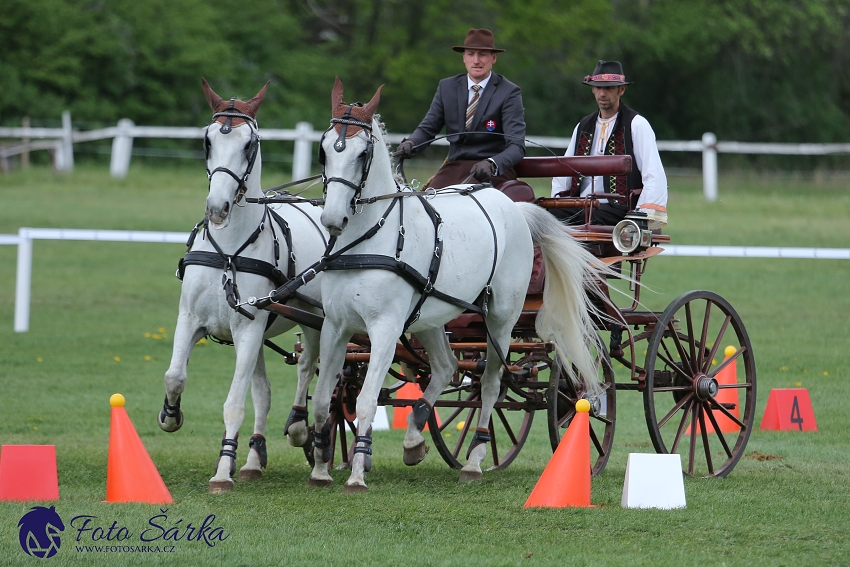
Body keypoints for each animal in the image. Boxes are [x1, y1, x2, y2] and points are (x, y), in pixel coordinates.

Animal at [159, 80, 328, 492]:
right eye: (207, 140)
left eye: (249, 144)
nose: (217, 207)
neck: (230, 250)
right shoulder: (191, 319)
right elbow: (175, 376)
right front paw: (170, 416)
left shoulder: (248, 328)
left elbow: (234, 403)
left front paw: (223, 471)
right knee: (264, 392)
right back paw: (253, 459)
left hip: (315, 321)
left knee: (308, 370)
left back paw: (303, 431)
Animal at [308, 79, 612, 492]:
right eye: (324, 150)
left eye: (362, 154)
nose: (332, 218)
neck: (369, 240)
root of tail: (515, 208)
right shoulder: (335, 326)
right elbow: (324, 398)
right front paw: (322, 467)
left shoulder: (385, 329)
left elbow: (367, 399)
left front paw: (356, 472)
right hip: (432, 317)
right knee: (447, 366)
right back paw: (415, 437)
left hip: (501, 319)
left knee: (491, 383)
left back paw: (475, 459)